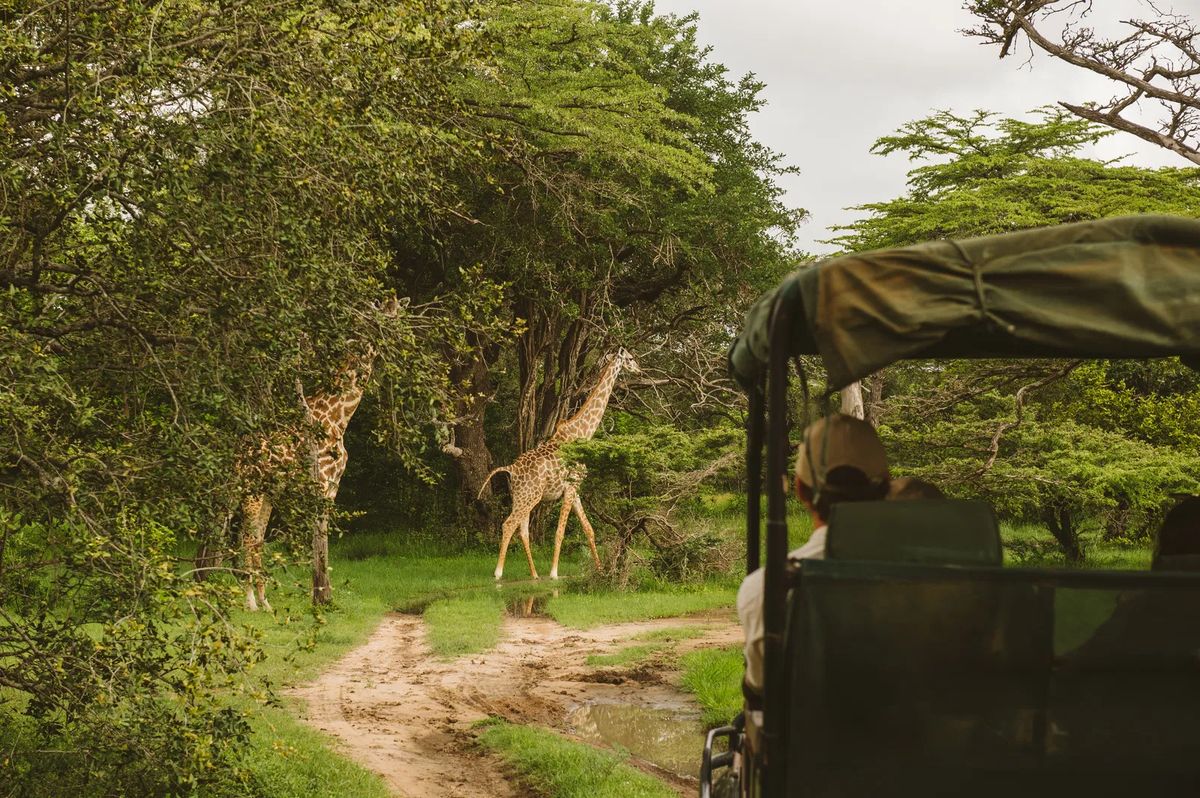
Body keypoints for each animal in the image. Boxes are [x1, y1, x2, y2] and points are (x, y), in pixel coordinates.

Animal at [480, 348, 640, 581]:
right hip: (530, 496)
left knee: (522, 530)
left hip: (522, 496)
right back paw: (498, 573)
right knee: (509, 524)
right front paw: (555, 573)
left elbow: (588, 529)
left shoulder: (575, 488)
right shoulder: (570, 487)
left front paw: (601, 571)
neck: (582, 433)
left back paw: (535, 574)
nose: (639, 369)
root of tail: (510, 469)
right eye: (629, 358)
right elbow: (560, 532)